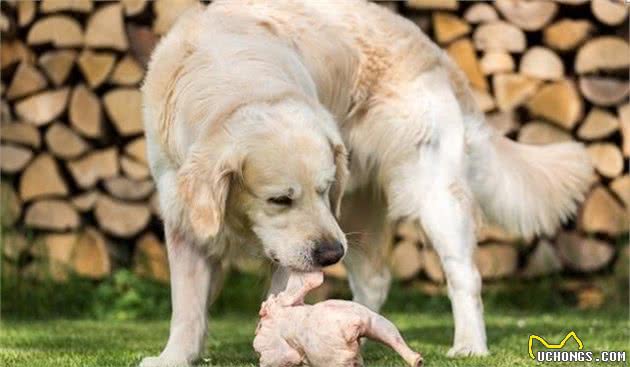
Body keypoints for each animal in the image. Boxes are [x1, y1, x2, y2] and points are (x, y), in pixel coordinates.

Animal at [141, 1, 596, 366]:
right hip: (357, 208)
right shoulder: (183, 216)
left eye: (323, 189)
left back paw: (469, 345)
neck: (232, 81)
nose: (330, 254)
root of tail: (431, 49)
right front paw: (173, 357)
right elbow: (187, 308)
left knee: (465, 274)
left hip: (431, 194)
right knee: (375, 280)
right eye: (279, 200)